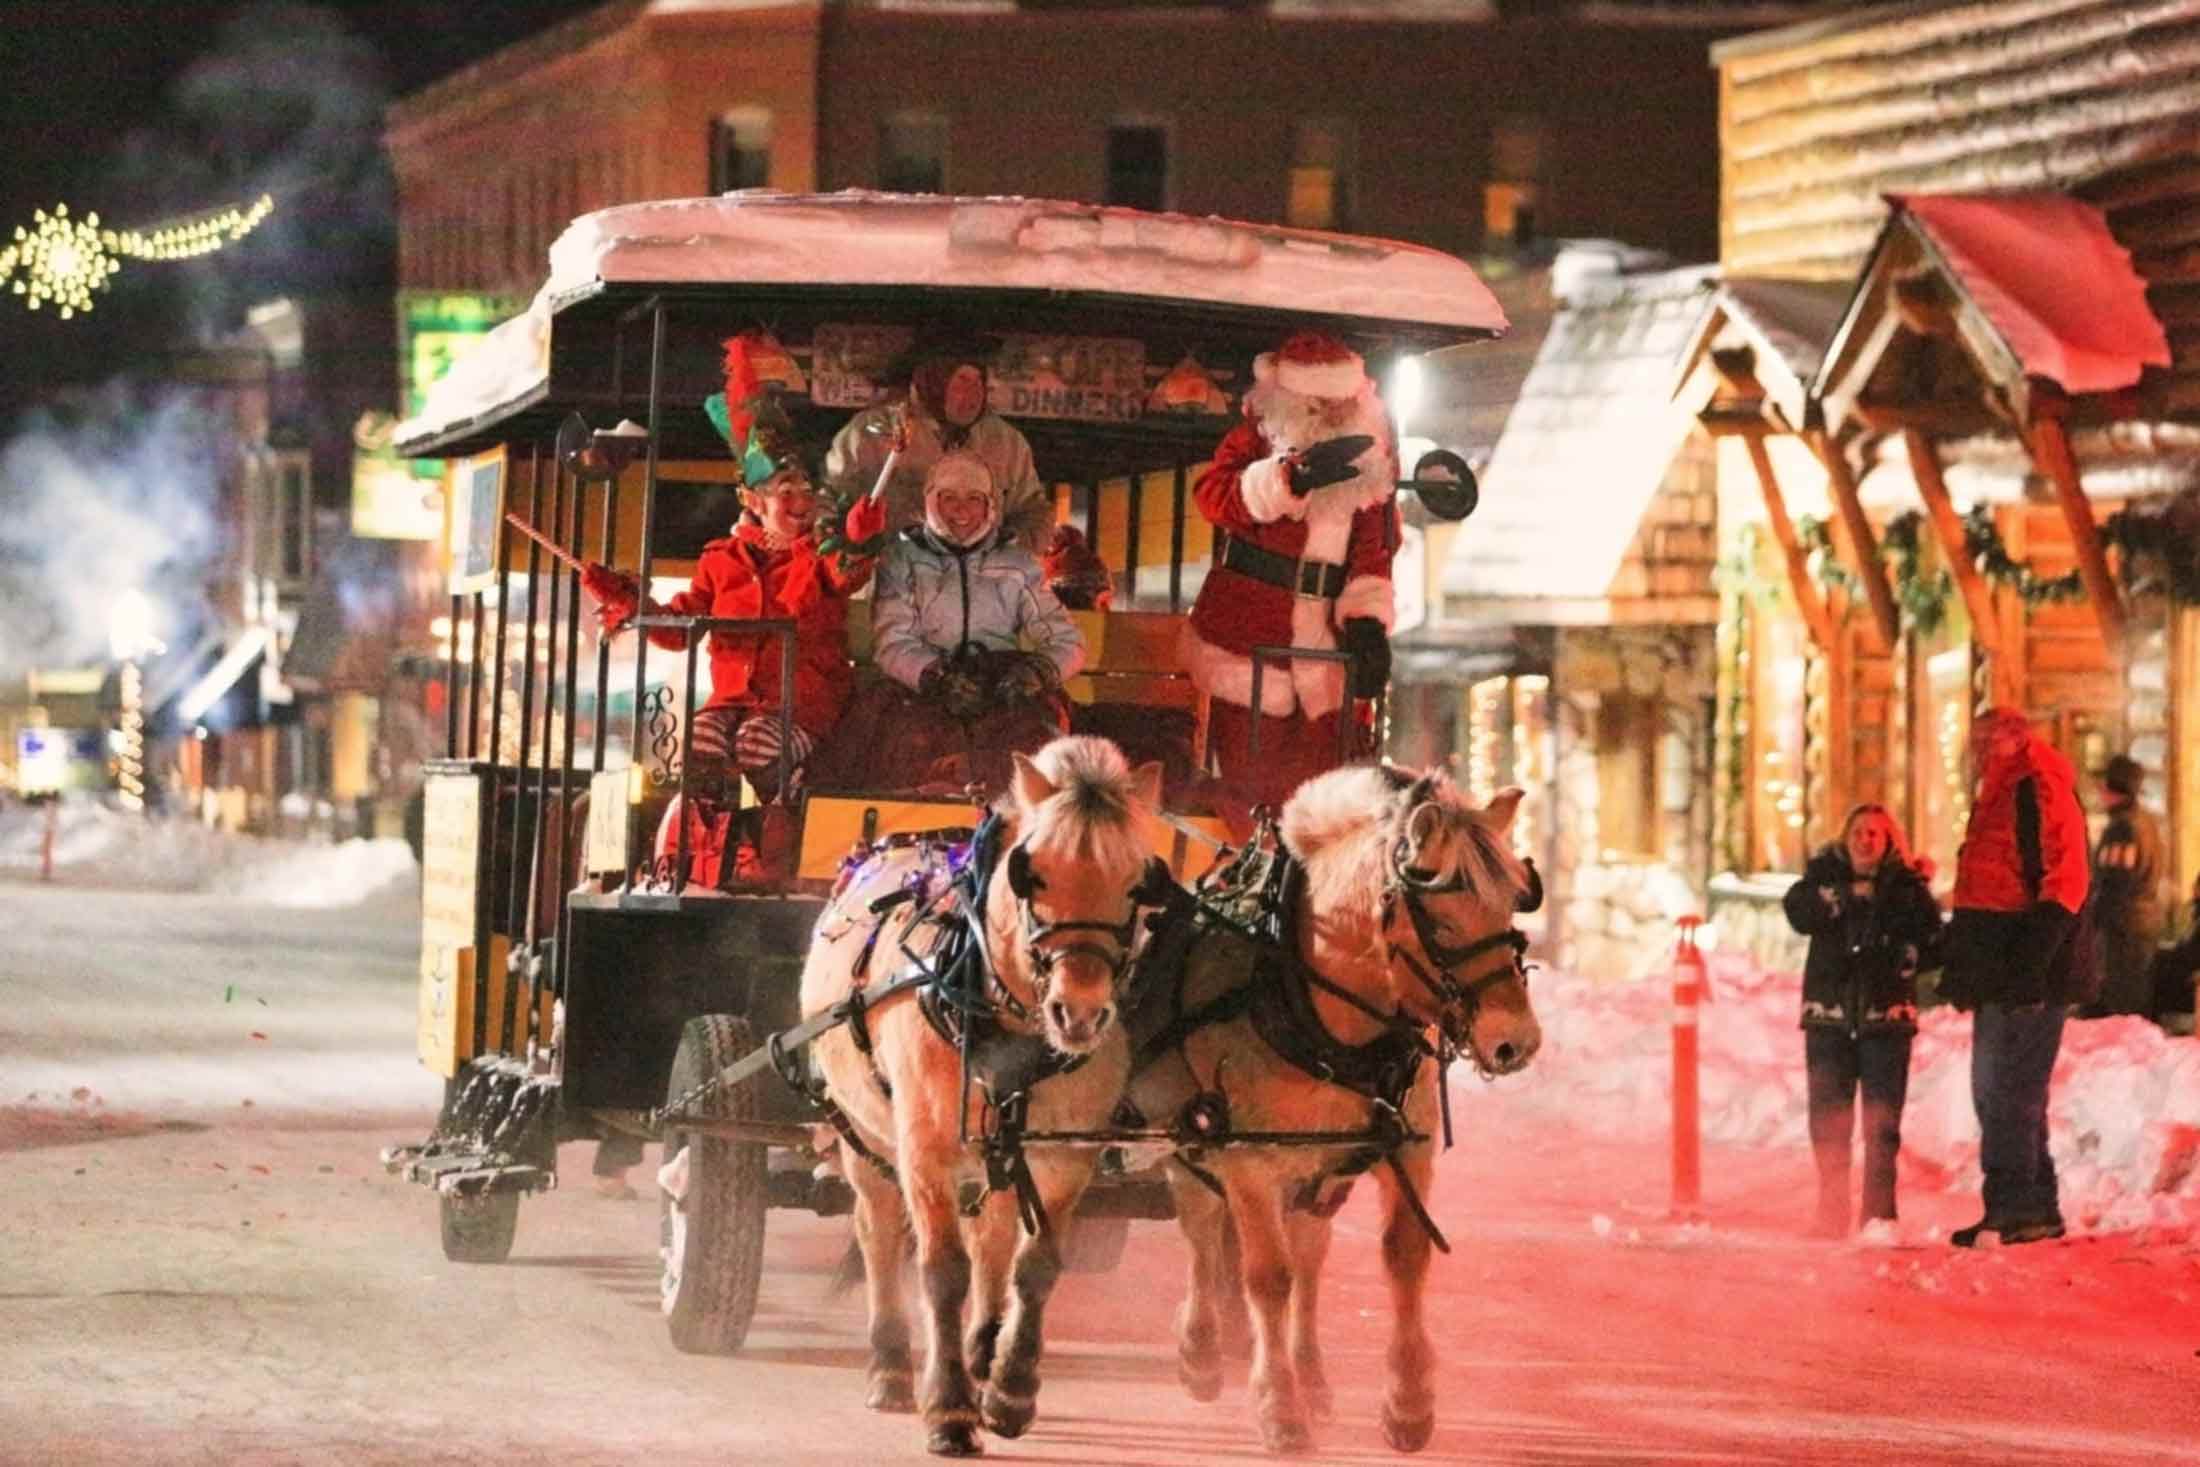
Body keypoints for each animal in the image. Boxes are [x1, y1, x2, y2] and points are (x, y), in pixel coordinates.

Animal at [796, 734, 1170, 1460]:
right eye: (1032, 873)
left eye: (1137, 882)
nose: (1081, 1013)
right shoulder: (926, 1147)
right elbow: (942, 1269)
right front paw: (949, 1408)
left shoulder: (1064, 1155)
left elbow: (1036, 1264)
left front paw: (1010, 1388)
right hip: (864, 1132)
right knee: (878, 1230)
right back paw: (891, 1366)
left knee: (993, 1236)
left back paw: (982, 1349)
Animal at [1126, 769, 1540, 1460]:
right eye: (1439, 920)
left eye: (1510, 903)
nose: (1517, 1042)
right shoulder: (1249, 1159)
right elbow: (1265, 1276)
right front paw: (1278, 1409)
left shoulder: (1409, 1146)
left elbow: (1404, 1256)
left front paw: (1407, 1402)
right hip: (1196, 1134)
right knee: (1204, 1227)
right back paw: (1202, 1350)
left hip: (1320, 1168)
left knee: (1309, 1254)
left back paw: (1311, 1375)